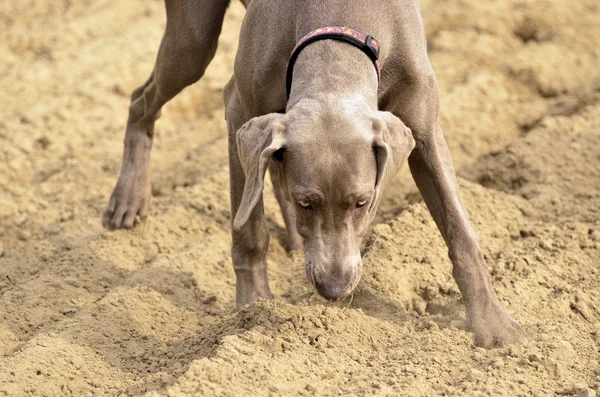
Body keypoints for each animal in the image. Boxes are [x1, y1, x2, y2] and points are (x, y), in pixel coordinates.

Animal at [104, 0, 524, 346]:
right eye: (305, 203)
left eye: (362, 203)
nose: (334, 290)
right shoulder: (241, 113)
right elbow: (249, 230)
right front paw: (253, 311)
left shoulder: (423, 127)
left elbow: (460, 231)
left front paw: (494, 326)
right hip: (193, 43)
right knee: (142, 99)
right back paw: (128, 198)